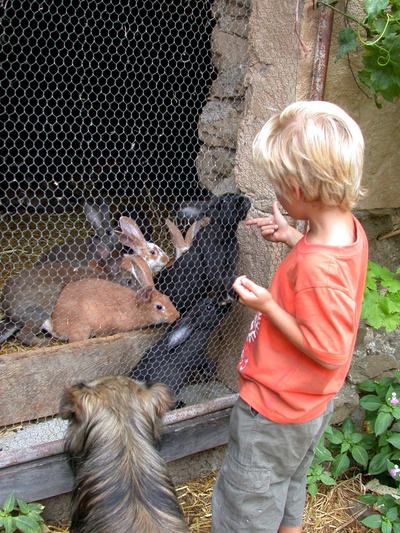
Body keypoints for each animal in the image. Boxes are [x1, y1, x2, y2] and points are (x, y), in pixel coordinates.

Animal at [46, 256, 179, 342]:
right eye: (159, 306)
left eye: (168, 298)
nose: (176, 316)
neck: (136, 307)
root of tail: (54, 324)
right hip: (80, 329)